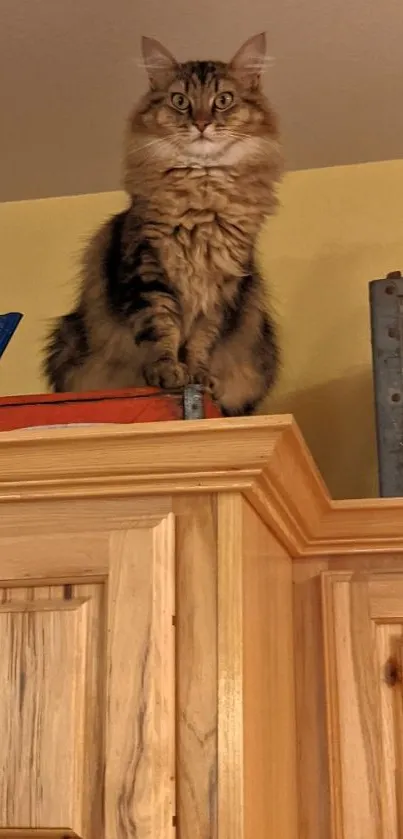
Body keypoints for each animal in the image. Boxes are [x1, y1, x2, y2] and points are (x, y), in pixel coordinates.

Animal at [44, 33, 284, 416]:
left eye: (223, 100)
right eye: (180, 101)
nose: (201, 123)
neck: (202, 195)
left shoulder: (221, 289)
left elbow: (201, 342)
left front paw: (198, 376)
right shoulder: (148, 272)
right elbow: (160, 329)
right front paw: (168, 372)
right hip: (67, 339)